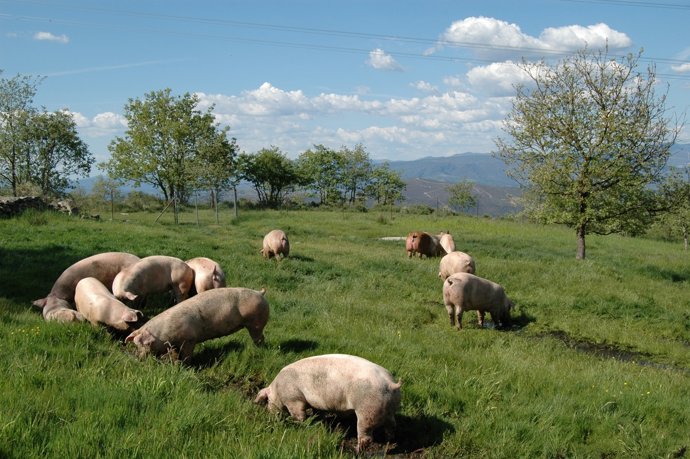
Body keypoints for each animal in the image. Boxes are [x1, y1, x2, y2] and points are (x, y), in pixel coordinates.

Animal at [125, 287, 269, 361]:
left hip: (256, 323)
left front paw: (184, 365)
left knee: (260, 337)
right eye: (136, 345)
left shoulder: (190, 339)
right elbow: (176, 353)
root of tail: (259, 292)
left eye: (147, 344)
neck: (165, 335)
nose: (139, 358)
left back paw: (257, 348)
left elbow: (187, 355)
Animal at [255, 354, 401, 453]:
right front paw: (319, 420)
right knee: (391, 426)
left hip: (367, 410)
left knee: (366, 436)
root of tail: (390, 384)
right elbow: (318, 412)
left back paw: (356, 450)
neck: (277, 389)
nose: (270, 416)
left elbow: (299, 414)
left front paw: (299, 424)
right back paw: (389, 441)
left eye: (267, 401)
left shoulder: (293, 399)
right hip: (390, 410)